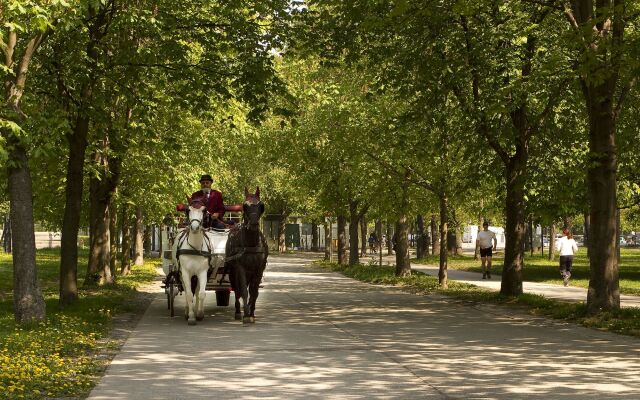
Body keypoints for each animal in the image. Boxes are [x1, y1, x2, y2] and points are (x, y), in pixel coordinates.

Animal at [225, 187, 268, 322]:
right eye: (245, 205)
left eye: (261, 205)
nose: (253, 224)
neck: (251, 244)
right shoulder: (240, 268)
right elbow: (243, 291)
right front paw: (246, 315)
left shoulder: (259, 269)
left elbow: (254, 292)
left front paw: (251, 313)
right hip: (232, 272)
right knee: (237, 290)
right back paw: (238, 311)